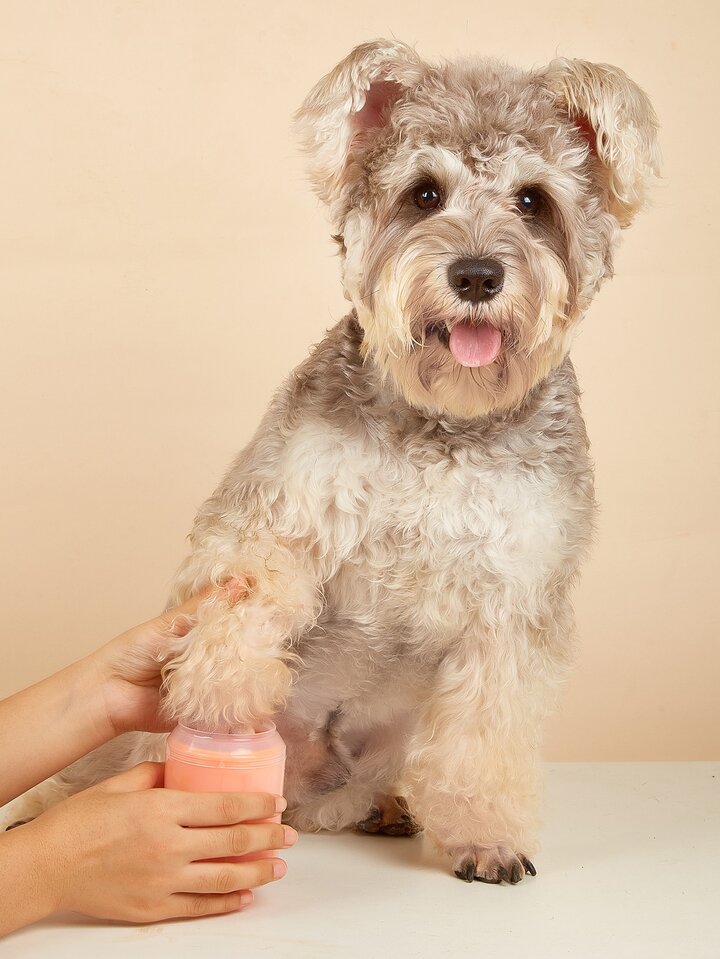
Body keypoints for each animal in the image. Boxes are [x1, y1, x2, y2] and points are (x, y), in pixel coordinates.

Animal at [4, 40, 658, 884]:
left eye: (532, 200)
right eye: (423, 192)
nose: (477, 274)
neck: (443, 421)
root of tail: (310, 791)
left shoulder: (516, 600)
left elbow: (487, 734)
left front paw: (485, 834)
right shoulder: (274, 508)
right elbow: (248, 597)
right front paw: (224, 688)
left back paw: (391, 805)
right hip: (134, 739)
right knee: (91, 768)